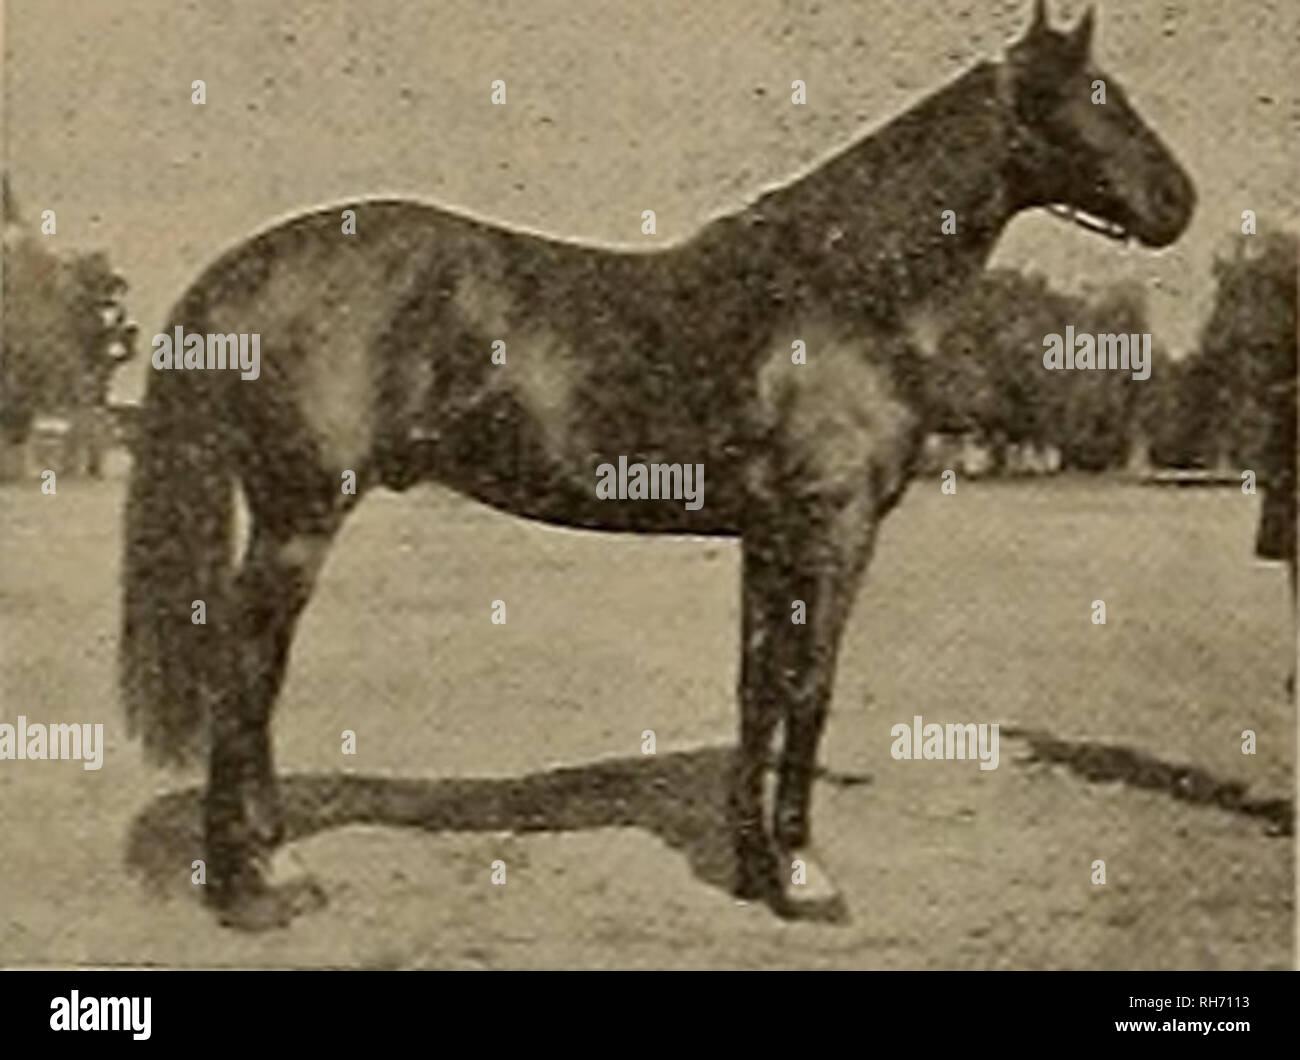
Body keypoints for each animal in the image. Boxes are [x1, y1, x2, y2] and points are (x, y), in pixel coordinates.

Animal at [120, 0, 1195, 930]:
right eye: (1101, 99)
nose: (1180, 202)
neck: (839, 287)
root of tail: (245, 268)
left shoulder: (770, 536)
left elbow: (759, 688)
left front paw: (756, 868)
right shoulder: (837, 529)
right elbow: (811, 690)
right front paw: (807, 880)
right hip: (299, 518)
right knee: (246, 674)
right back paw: (259, 886)